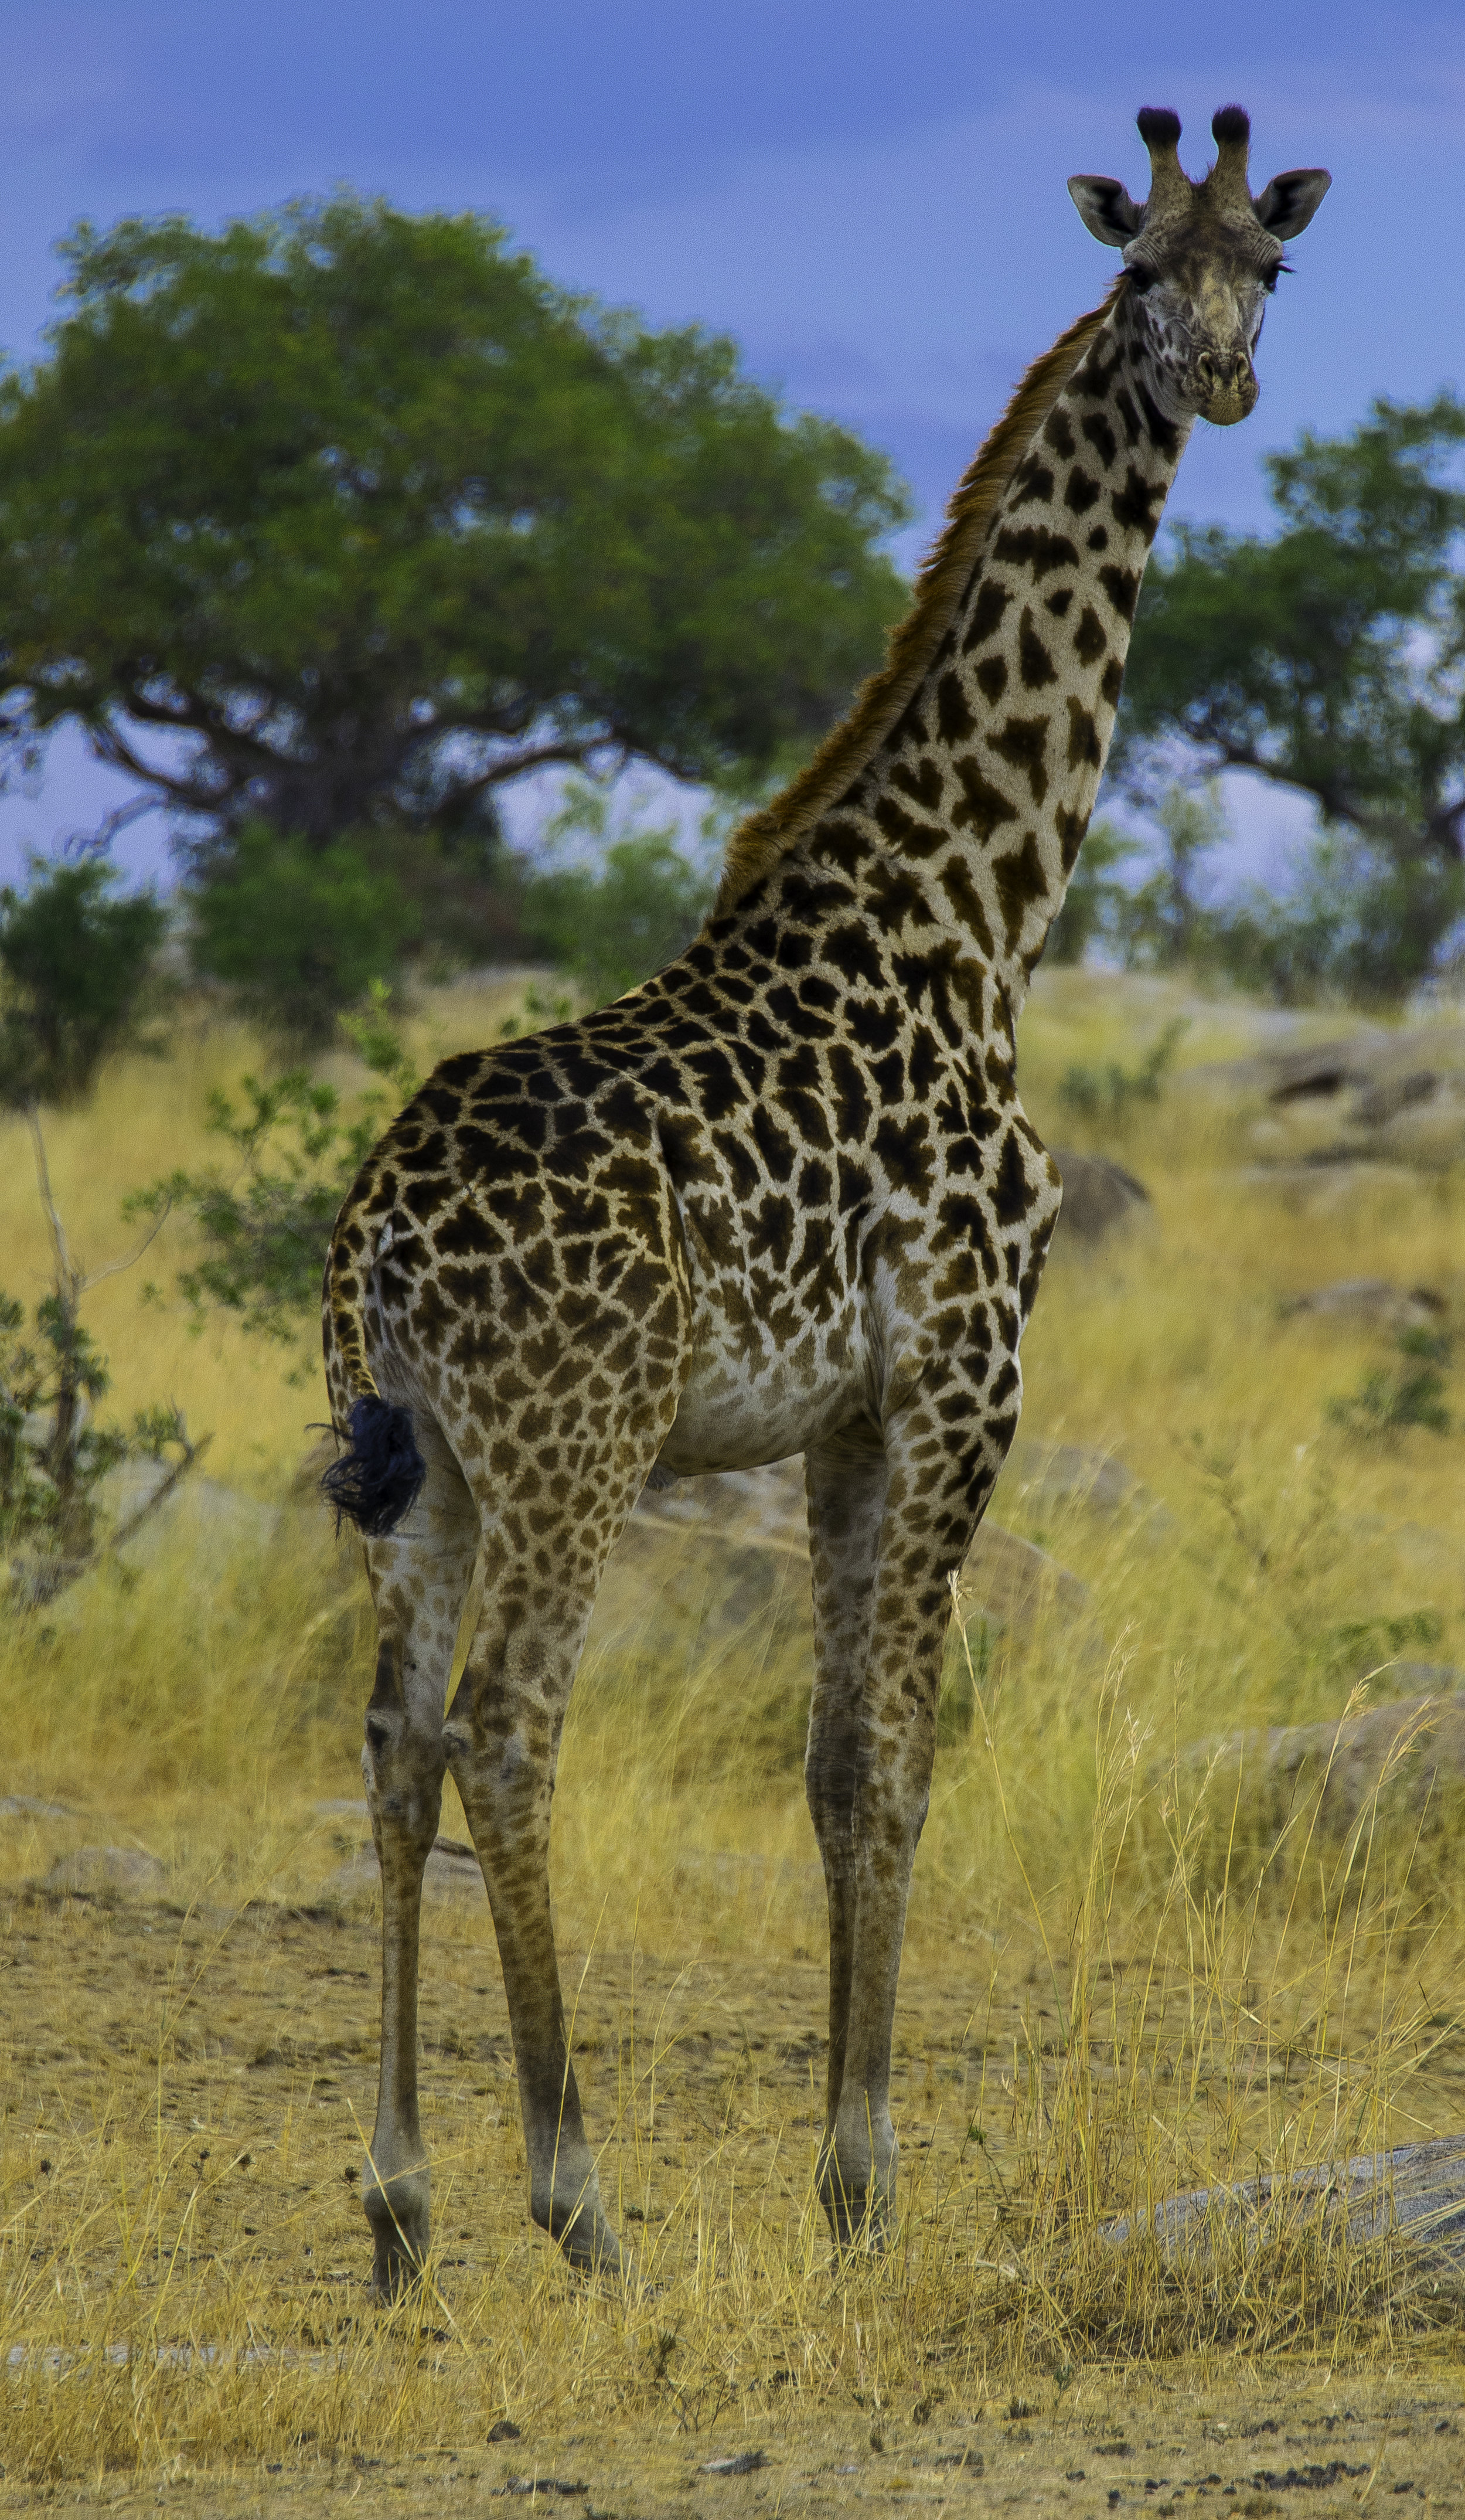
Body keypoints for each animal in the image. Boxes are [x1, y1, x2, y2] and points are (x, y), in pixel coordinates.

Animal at [321, 106, 1330, 2298]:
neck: (978, 914)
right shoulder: (963, 1374)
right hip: (572, 1443)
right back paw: (579, 2199)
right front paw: (863, 2178)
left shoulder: (843, 1416)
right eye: (1140, 273)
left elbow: (824, 1758)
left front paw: (837, 2167)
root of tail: (374, 1240)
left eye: (1269, 269)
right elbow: (899, 1754)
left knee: (390, 1738)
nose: (1219, 376)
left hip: (419, 1457)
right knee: (506, 1726)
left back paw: (401, 2204)